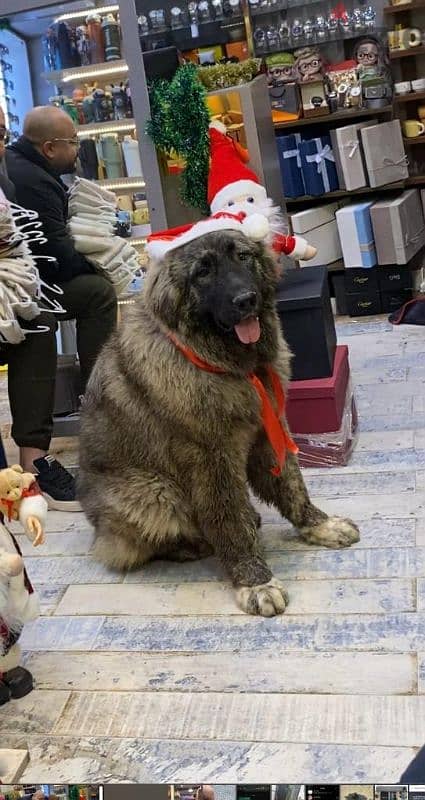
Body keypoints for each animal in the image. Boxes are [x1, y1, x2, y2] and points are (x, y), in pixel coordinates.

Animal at [78, 228, 360, 616]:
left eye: (242, 256)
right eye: (203, 271)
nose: (246, 300)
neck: (228, 364)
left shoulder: (269, 430)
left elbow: (292, 485)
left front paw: (318, 525)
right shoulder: (212, 458)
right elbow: (230, 520)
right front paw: (254, 580)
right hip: (153, 492)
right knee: (139, 544)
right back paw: (192, 545)